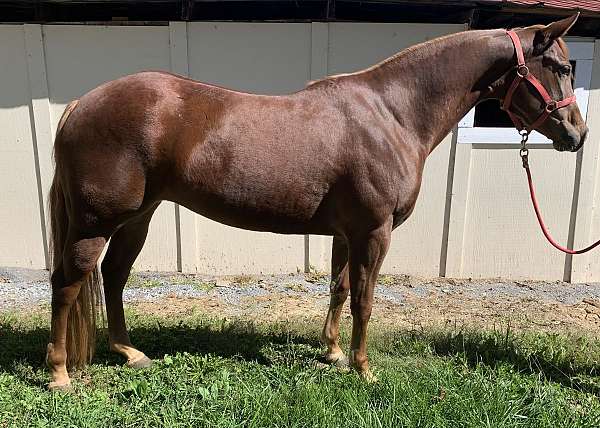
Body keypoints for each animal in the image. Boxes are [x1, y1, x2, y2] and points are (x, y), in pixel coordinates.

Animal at [45, 14, 584, 388]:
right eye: (560, 67)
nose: (577, 135)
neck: (392, 113)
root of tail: (81, 104)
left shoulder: (347, 233)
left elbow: (340, 289)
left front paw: (332, 353)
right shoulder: (373, 231)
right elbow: (365, 298)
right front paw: (364, 369)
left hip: (138, 216)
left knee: (114, 276)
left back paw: (128, 352)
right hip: (96, 222)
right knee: (68, 283)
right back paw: (59, 374)